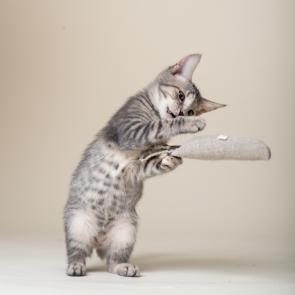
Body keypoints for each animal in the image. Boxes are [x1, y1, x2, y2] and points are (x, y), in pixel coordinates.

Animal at [63, 54, 224, 278]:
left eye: (191, 109)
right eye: (181, 95)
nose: (182, 113)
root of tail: (98, 239)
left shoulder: (138, 167)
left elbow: (153, 162)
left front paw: (170, 159)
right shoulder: (131, 129)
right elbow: (160, 125)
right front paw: (190, 123)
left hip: (126, 230)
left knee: (113, 260)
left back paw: (124, 267)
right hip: (77, 222)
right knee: (77, 250)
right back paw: (76, 266)